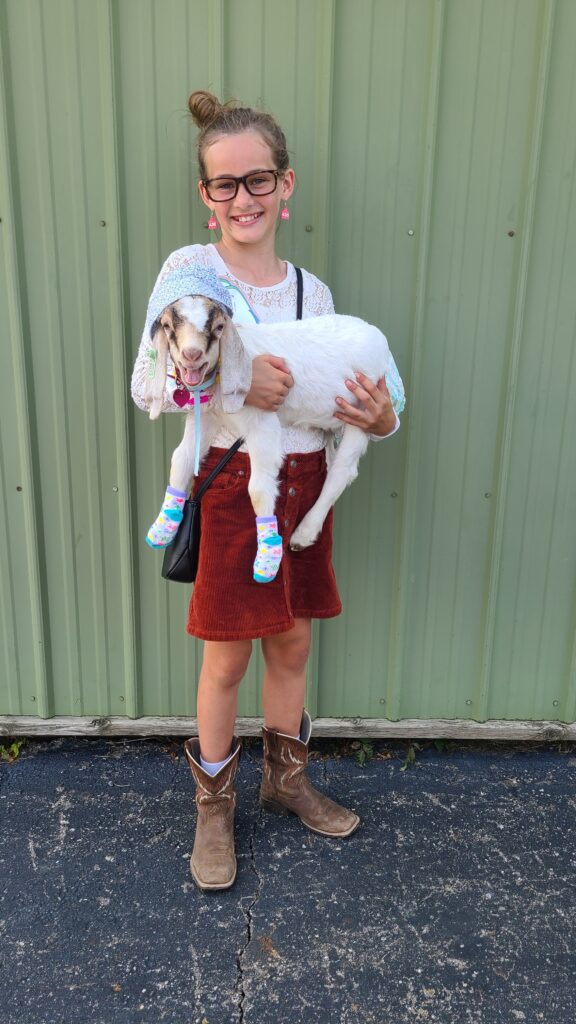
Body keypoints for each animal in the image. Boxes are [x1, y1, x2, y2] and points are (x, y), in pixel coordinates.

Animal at [147, 296, 399, 552]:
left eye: (219, 327)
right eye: (167, 326)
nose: (192, 354)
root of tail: (379, 337)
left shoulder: (263, 422)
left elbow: (258, 488)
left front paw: (268, 552)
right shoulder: (207, 418)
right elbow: (181, 458)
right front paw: (162, 528)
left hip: (363, 410)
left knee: (342, 471)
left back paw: (303, 535)